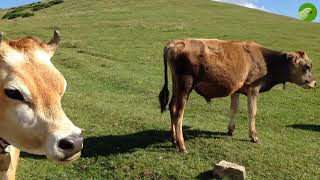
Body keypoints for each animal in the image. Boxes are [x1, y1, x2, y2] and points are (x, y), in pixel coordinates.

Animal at [158, 38, 316, 153]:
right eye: (307, 66)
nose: (314, 83)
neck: (266, 60)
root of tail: (175, 43)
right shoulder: (253, 89)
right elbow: (253, 112)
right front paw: (254, 136)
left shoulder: (236, 90)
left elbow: (233, 109)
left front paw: (231, 130)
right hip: (185, 85)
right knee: (179, 112)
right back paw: (181, 145)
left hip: (177, 85)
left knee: (172, 107)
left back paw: (173, 139)